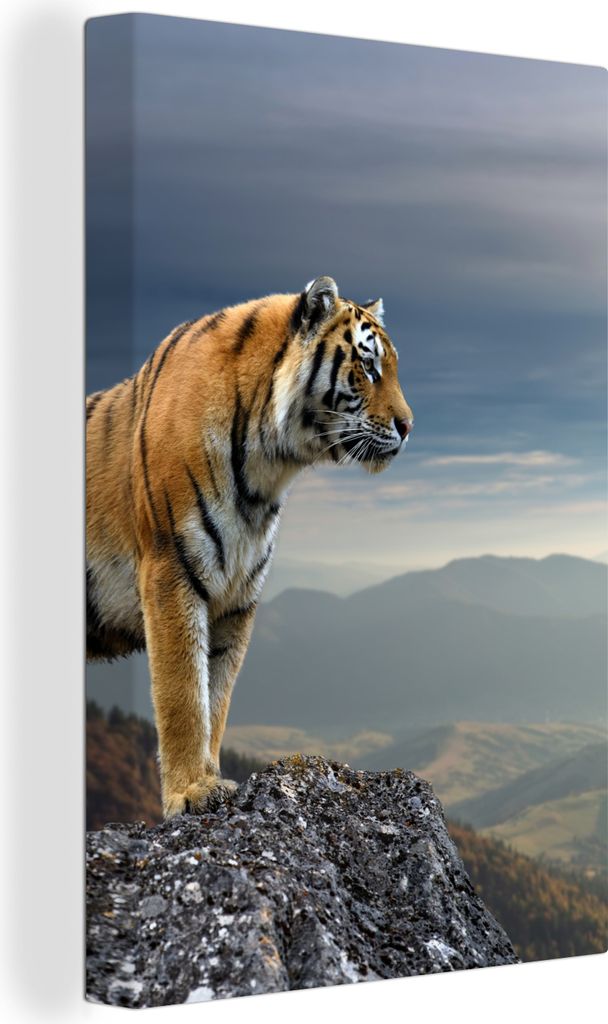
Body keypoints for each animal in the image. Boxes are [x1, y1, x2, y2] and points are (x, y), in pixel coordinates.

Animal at [86, 275, 414, 818]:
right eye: (368, 367)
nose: (409, 427)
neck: (267, 467)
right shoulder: (171, 572)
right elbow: (182, 692)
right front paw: (192, 791)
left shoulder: (237, 596)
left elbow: (215, 697)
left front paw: (210, 777)